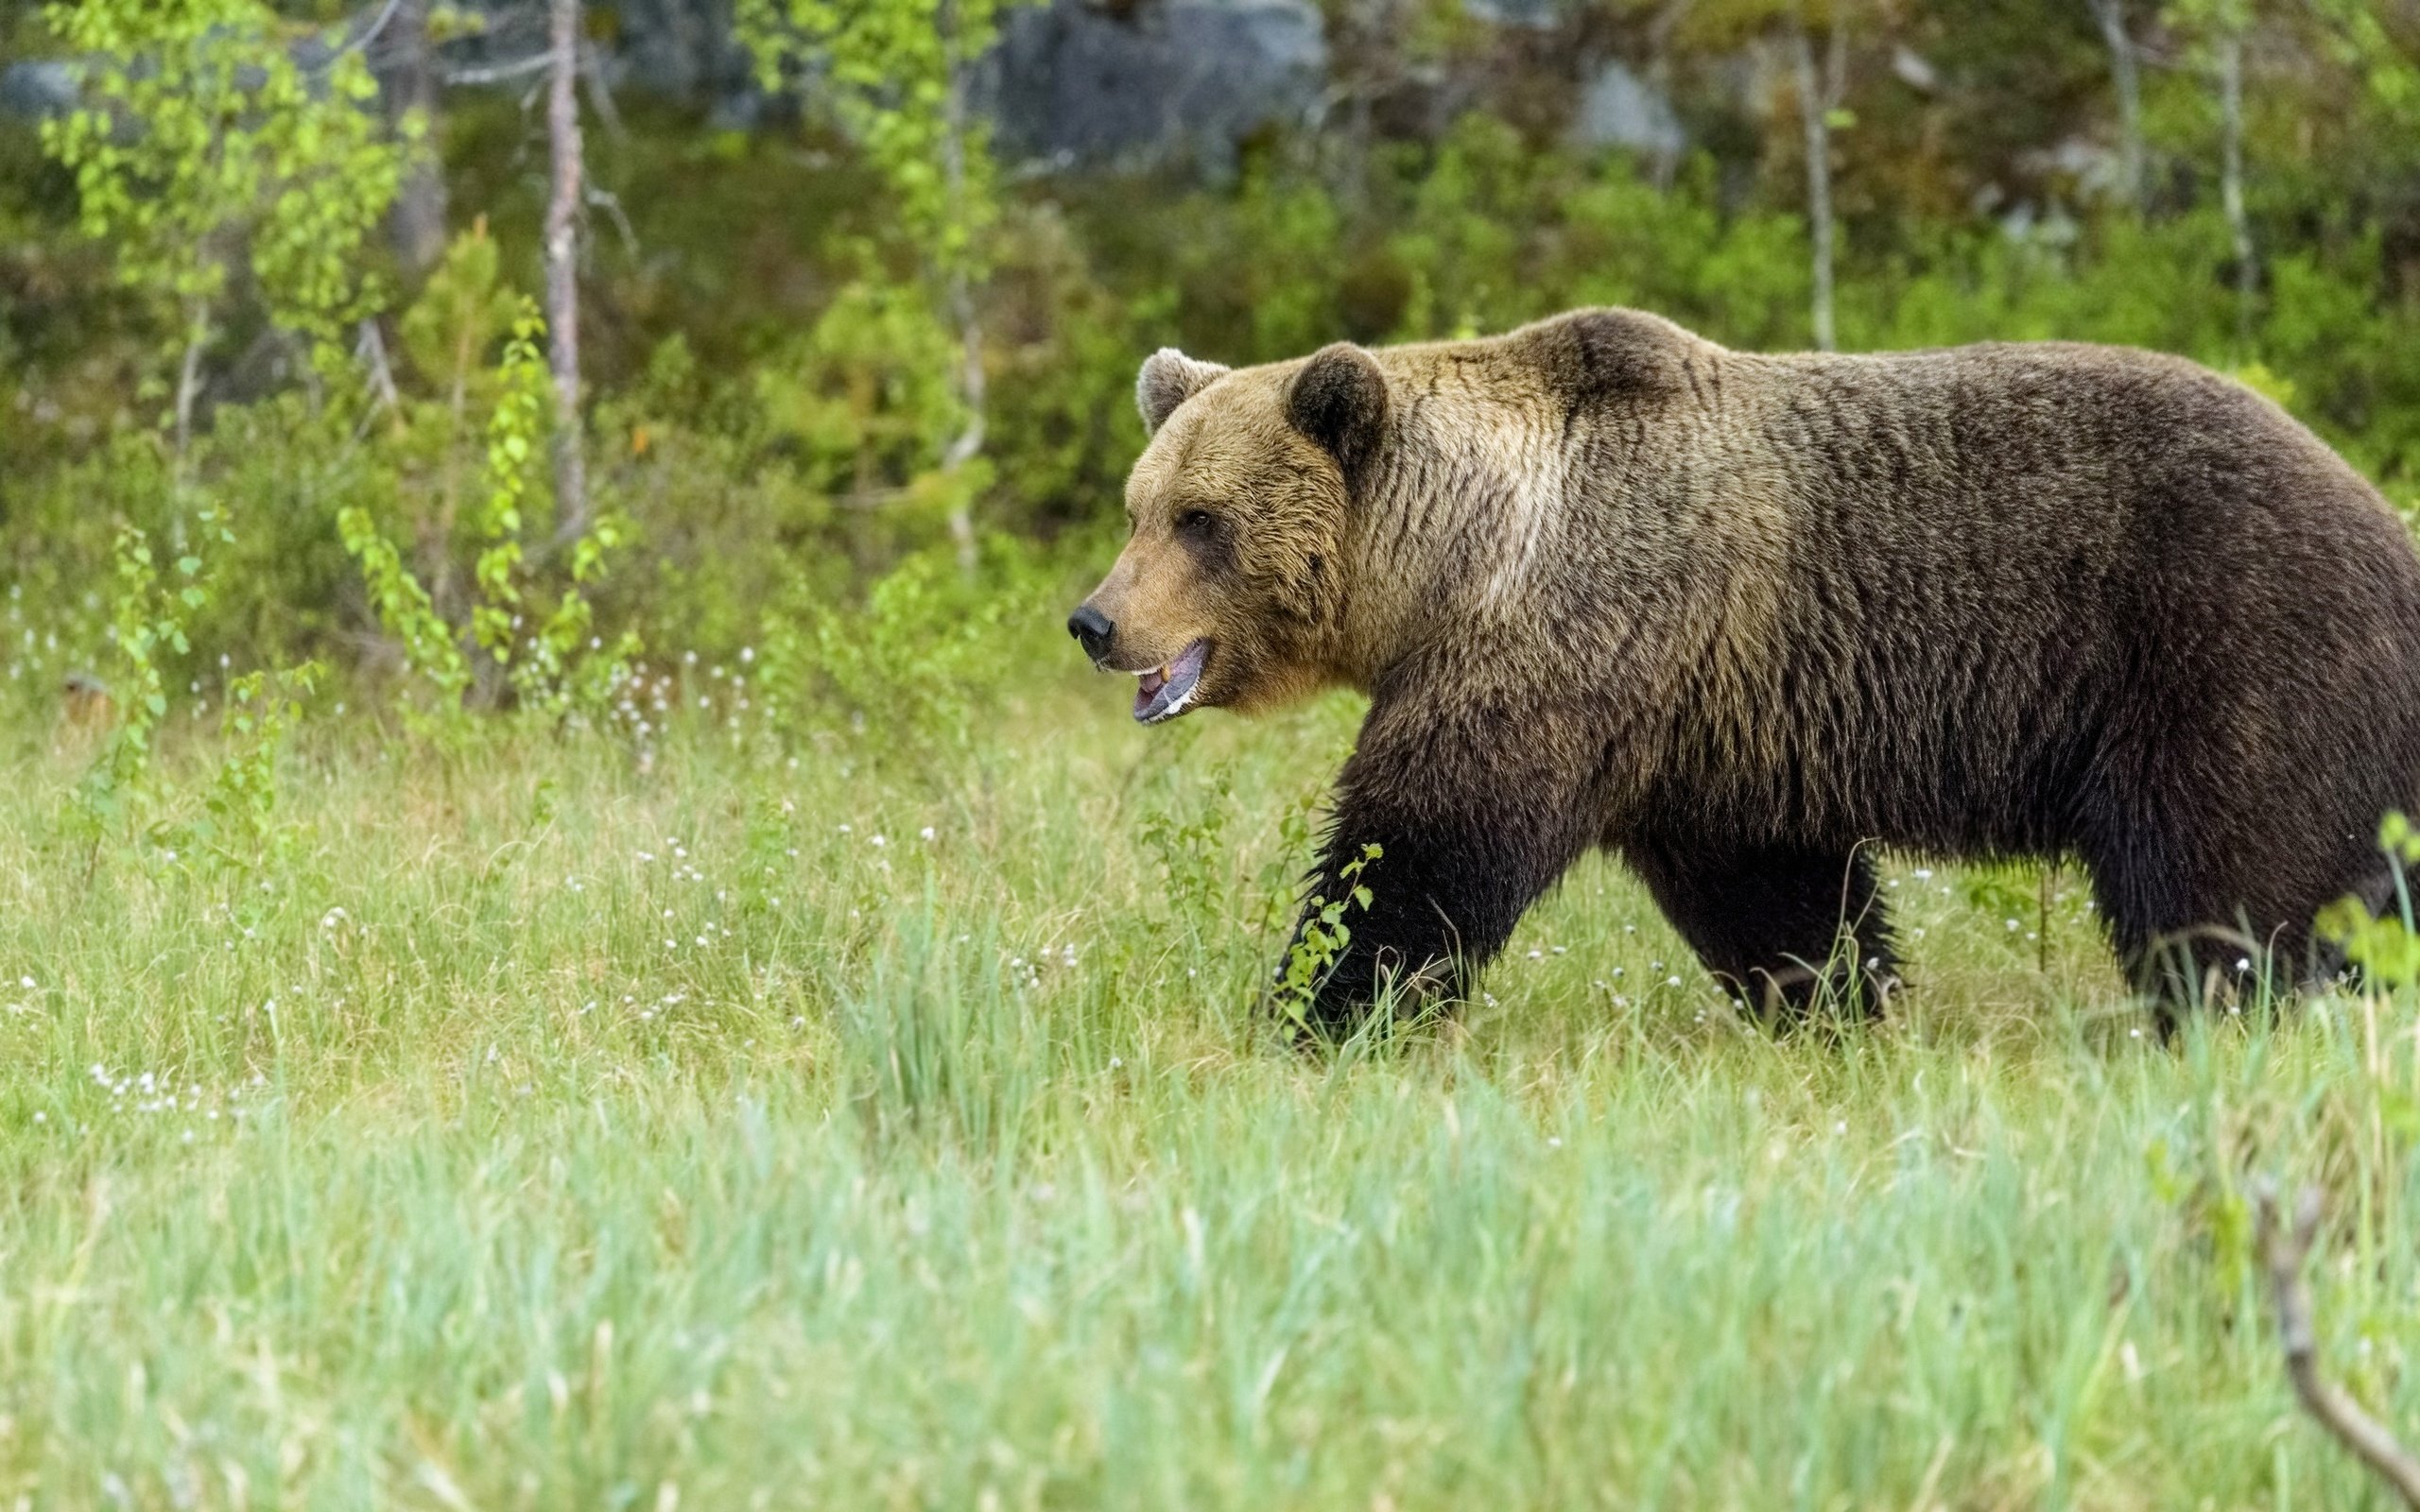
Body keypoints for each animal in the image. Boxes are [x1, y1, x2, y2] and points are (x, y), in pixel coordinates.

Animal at [1069, 312, 2420, 1030]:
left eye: (1202, 520)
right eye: (1138, 508)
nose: (1094, 620)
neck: (1454, 563)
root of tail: (2384, 522)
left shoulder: (1574, 641)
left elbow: (1423, 850)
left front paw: (1319, 1010)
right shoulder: (1709, 727)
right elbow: (1777, 892)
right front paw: (1843, 1010)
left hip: (2231, 659)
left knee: (2225, 896)